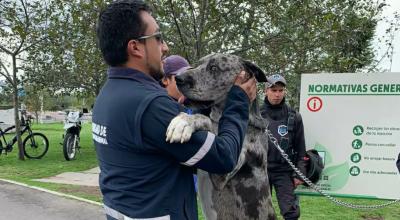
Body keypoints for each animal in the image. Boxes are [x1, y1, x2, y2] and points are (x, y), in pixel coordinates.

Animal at [166, 53, 278, 220]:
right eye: (198, 64)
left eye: (214, 68)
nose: (178, 78)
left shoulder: (223, 174)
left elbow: (205, 119)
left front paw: (184, 122)